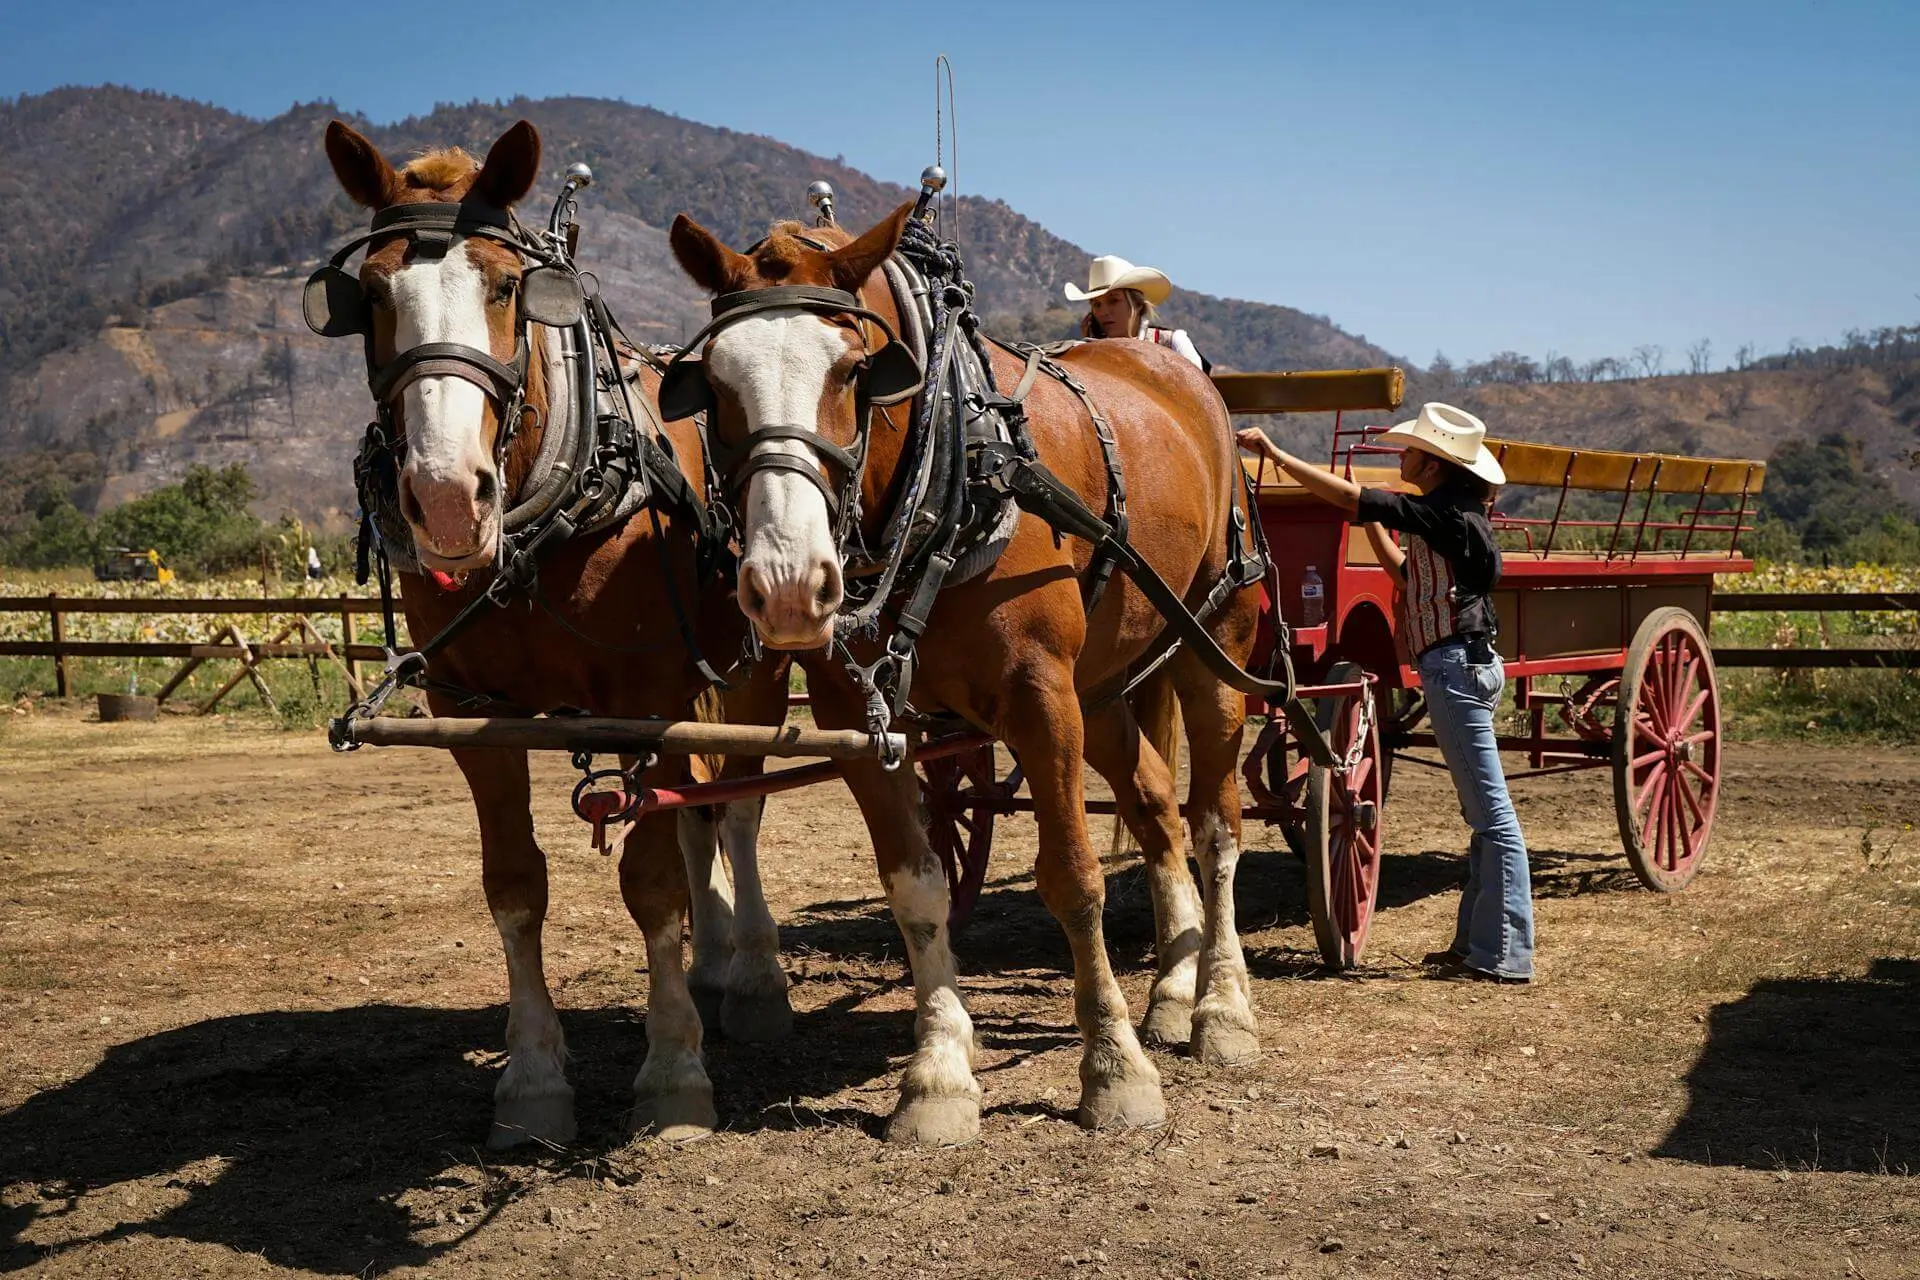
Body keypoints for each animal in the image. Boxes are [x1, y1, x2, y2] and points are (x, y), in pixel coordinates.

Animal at [318, 119, 791, 1147]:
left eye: (505, 286)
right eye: (367, 294)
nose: (446, 500)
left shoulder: (648, 700)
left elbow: (650, 884)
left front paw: (674, 1075)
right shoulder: (471, 710)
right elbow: (514, 887)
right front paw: (532, 1082)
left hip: (757, 664)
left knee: (735, 805)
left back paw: (754, 980)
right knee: (697, 809)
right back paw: (712, 962)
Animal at [665, 204, 1265, 1144]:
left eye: (854, 370)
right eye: (715, 381)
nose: (789, 581)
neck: (957, 465)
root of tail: (1183, 377)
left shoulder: (1040, 700)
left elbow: (1073, 878)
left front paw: (1114, 1070)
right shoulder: (862, 717)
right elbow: (916, 887)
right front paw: (939, 1074)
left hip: (1216, 648)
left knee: (1216, 824)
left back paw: (1221, 1008)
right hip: (1104, 689)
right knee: (1158, 807)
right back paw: (1171, 990)